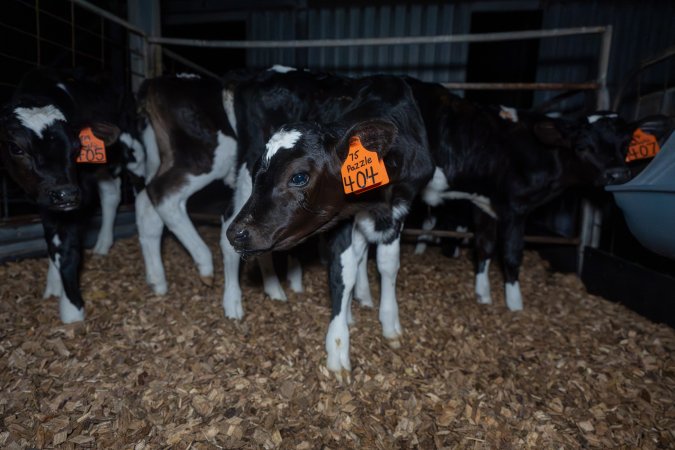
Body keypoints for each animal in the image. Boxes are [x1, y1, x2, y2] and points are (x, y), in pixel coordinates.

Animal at [0, 68, 133, 323]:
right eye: (16, 148)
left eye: (77, 146)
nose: (66, 194)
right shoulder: (43, 197)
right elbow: (53, 241)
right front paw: (54, 285)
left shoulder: (79, 192)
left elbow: (68, 248)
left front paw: (72, 310)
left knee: (112, 193)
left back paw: (103, 243)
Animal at [225, 72, 434, 381]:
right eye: (257, 172)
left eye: (299, 177)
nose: (238, 234)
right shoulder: (342, 217)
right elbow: (341, 273)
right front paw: (338, 348)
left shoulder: (400, 205)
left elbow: (386, 265)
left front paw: (389, 324)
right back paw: (232, 302)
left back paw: (275, 290)